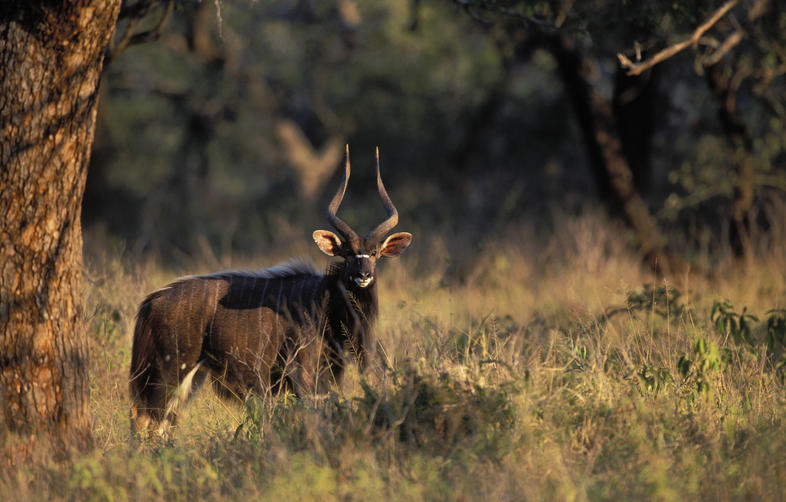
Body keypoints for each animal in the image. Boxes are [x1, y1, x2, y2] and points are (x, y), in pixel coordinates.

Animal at [129, 146, 410, 436]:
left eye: (374, 253)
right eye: (349, 253)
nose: (363, 275)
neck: (327, 304)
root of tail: (151, 302)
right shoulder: (304, 375)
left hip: (193, 376)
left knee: (164, 421)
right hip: (169, 369)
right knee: (143, 416)